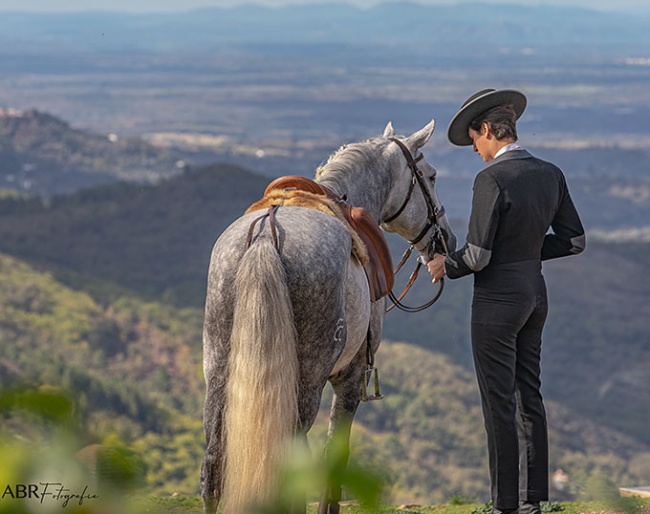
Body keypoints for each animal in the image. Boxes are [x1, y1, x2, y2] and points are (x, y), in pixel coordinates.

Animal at [200, 119, 454, 512]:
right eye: (432, 175)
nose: (447, 241)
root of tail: (266, 237)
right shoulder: (349, 377)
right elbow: (334, 456)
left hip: (217, 366)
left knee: (213, 463)